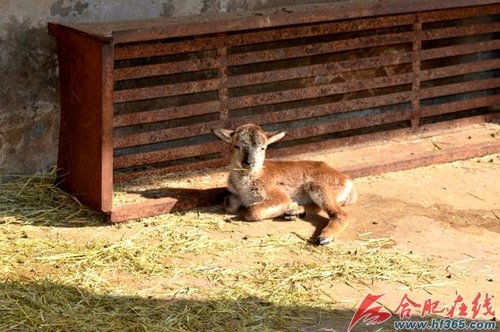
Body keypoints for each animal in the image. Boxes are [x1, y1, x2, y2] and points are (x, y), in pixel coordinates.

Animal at [213, 123, 358, 245]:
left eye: (263, 148)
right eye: (236, 146)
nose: (248, 162)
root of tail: (347, 180)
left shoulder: (277, 194)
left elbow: (251, 211)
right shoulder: (233, 194)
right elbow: (228, 204)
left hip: (319, 185)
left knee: (340, 213)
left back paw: (324, 237)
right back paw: (294, 211)